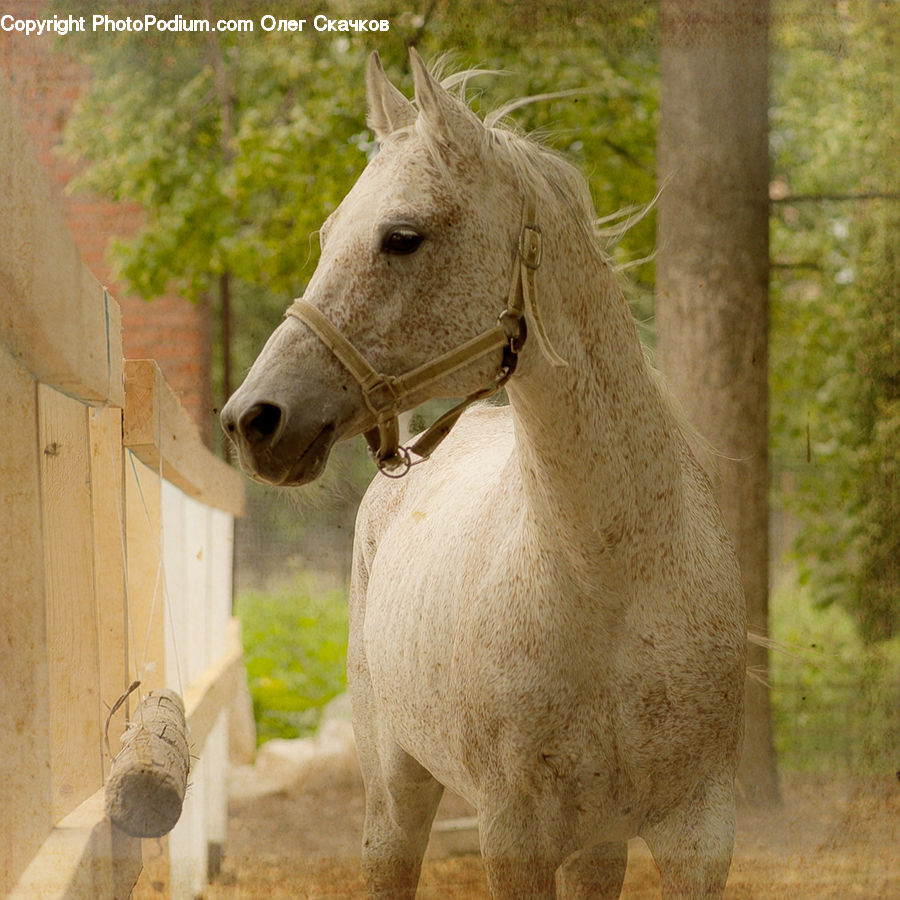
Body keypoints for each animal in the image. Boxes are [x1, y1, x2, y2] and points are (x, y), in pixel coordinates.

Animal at [223, 49, 744, 900]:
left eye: (402, 237)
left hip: (597, 845)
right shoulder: (515, 838)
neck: (612, 578)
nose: (252, 420)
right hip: (394, 802)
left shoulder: (698, 833)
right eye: (328, 234)